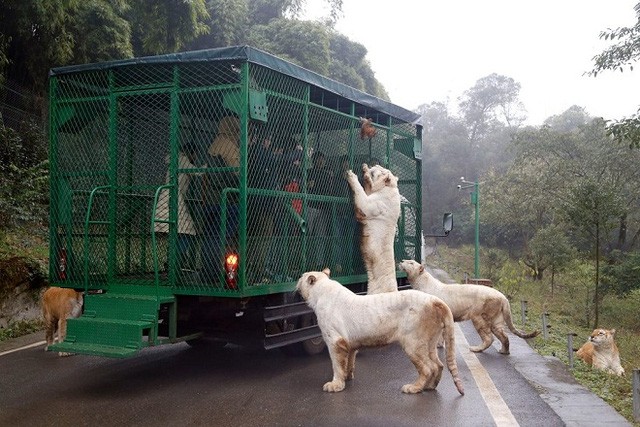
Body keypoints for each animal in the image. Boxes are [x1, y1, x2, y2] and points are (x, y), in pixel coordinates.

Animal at [296, 270, 464, 396]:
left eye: (301, 277)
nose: (297, 281)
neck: (320, 292)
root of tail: (436, 300)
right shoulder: (349, 344)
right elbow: (349, 361)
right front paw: (348, 377)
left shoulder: (335, 340)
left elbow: (337, 364)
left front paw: (335, 385)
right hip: (429, 342)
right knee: (438, 365)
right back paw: (430, 386)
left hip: (413, 343)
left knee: (428, 368)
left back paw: (413, 388)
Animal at [344, 163, 400, 294]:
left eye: (380, 169)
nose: (374, 164)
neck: (389, 187)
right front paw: (365, 172)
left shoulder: (381, 203)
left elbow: (364, 205)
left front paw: (352, 175)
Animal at [400, 260, 540, 354]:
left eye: (411, 262)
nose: (401, 261)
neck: (420, 282)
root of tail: (504, 297)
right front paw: (439, 345)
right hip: (496, 319)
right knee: (504, 336)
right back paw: (503, 351)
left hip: (478, 316)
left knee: (489, 338)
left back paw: (475, 349)